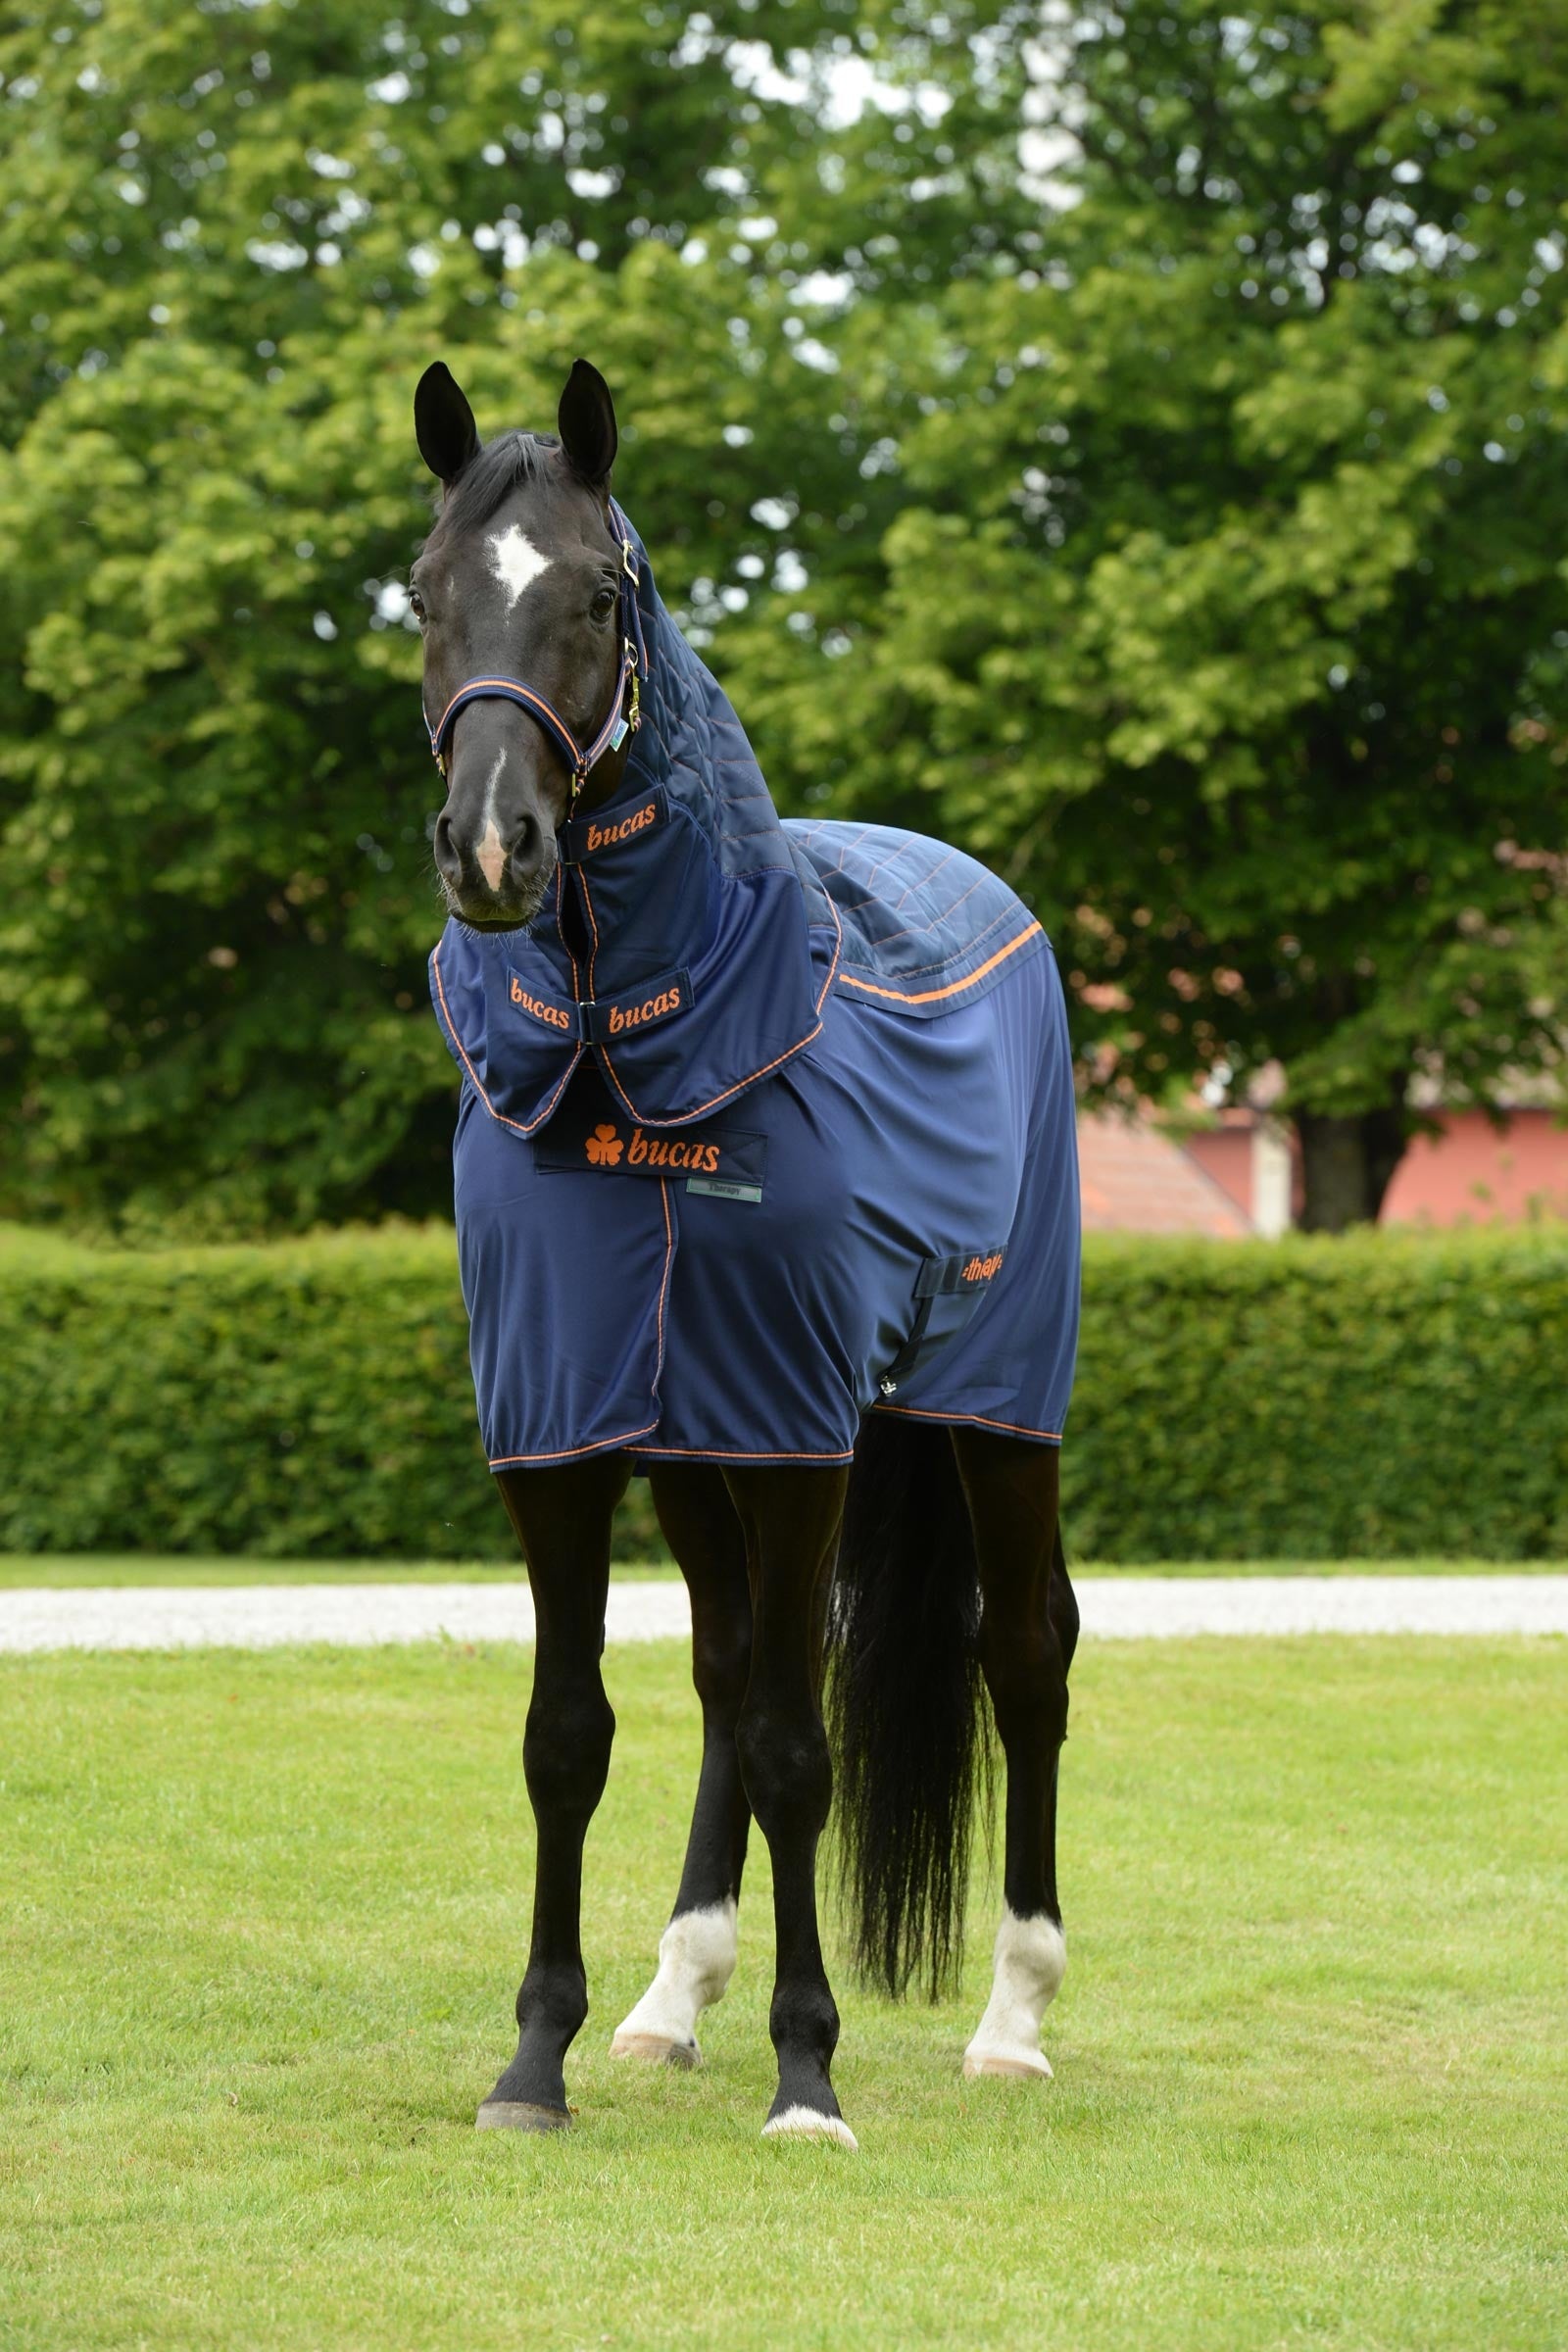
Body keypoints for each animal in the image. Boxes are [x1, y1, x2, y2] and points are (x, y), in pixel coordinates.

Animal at [411, 356, 1082, 2148]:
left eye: (596, 592)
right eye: (425, 595)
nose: (492, 849)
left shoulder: (799, 1437)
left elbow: (800, 1744)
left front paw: (808, 2074)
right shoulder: (568, 1426)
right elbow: (570, 1734)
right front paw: (536, 2062)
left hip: (997, 1406)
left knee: (1024, 1651)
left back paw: (1015, 2018)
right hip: (703, 1438)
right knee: (726, 1675)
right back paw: (671, 1998)